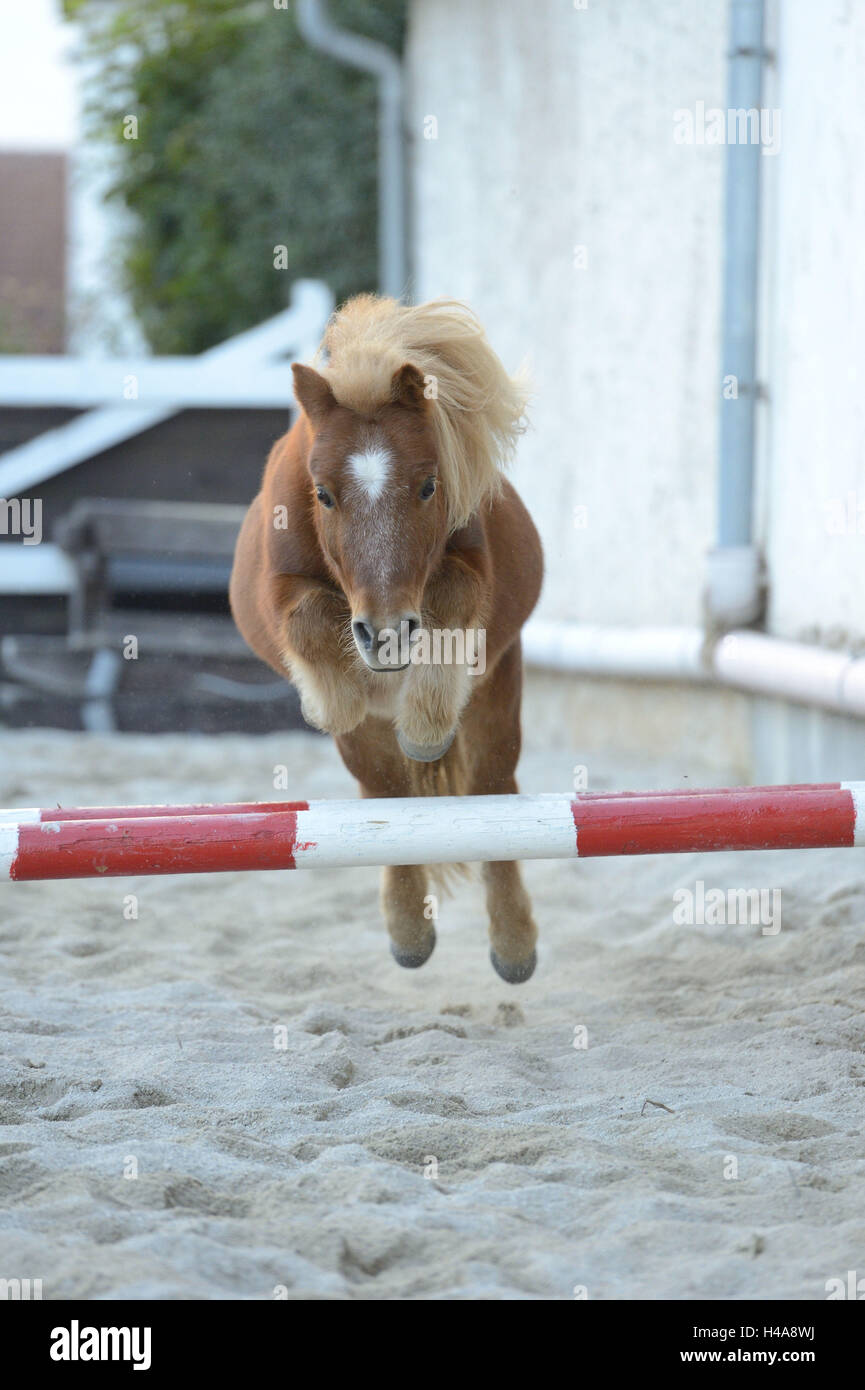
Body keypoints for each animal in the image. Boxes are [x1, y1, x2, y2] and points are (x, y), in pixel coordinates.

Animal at [230, 298, 542, 984]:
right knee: (385, 795)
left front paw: (425, 724)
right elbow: (308, 620)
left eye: (428, 485)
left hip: (500, 689)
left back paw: (513, 946)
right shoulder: (277, 591)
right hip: (370, 751)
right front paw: (339, 697)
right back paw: (410, 934)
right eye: (322, 493)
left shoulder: (471, 572)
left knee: (493, 792)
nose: (386, 635)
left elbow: (452, 597)